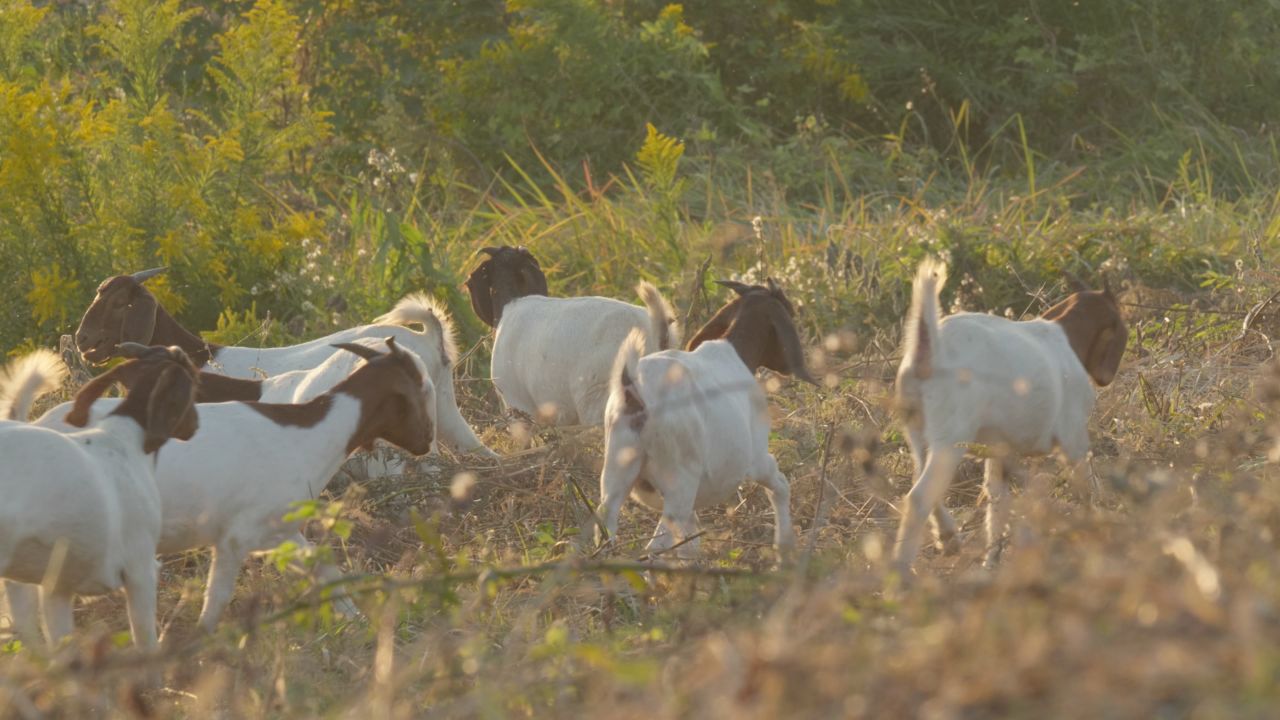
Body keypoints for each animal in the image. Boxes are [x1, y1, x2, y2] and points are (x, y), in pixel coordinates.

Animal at [0, 340, 198, 650]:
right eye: (192, 377)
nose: (196, 424)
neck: (126, 438)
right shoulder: (140, 570)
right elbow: (146, 644)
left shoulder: (56, 589)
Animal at [11, 335, 435, 627]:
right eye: (422, 387)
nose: (427, 441)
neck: (308, 432)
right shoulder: (235, 537)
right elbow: (217, 598)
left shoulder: (279, 532)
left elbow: (324, 568)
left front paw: (357, 619)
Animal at [890, 257, 1131, 571]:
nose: (1107, 377)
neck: (1066, 335)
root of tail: (929, 348)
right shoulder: (1073, 441)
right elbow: (1088, 489)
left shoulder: (998, 454)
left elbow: (997, 505)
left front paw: (991, 562)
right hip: (949, 441)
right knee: (918, 498)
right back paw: (901, 568)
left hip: (918, 434)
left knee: (922, 482)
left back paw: (948, 536)